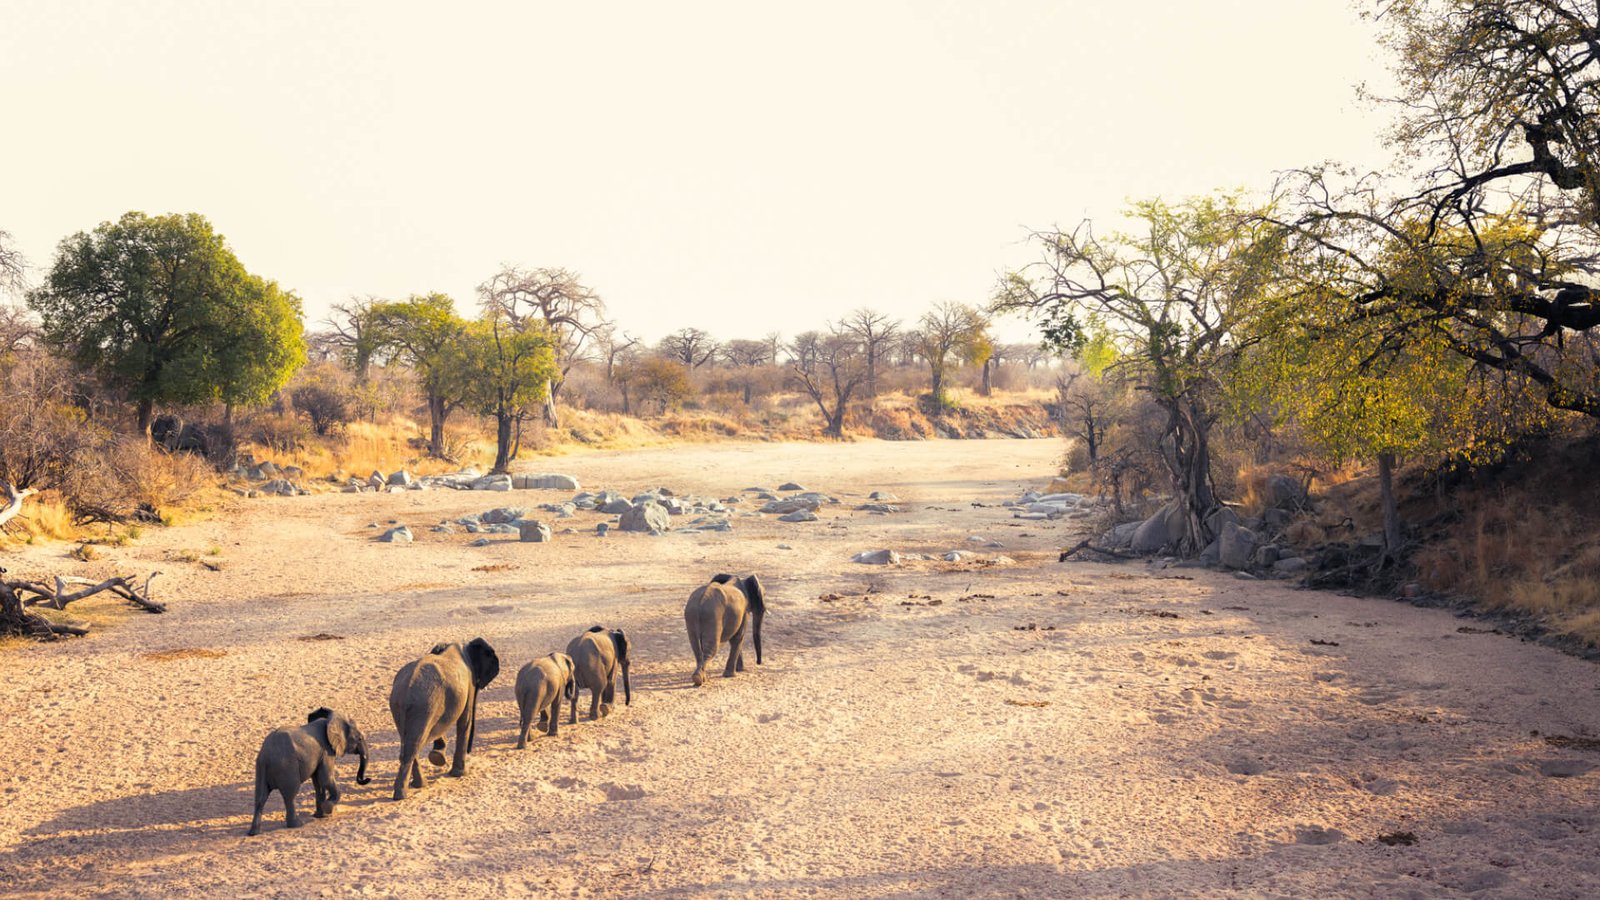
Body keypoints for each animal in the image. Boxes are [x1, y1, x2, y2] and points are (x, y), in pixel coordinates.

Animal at [247, 707, 370, 836]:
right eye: (359, 738)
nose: (367, 779)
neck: (330, 720)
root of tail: (266, 754)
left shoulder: (319, 755)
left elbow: (318, 783)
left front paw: (321, 816)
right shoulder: (326, 751)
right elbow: (326, 779)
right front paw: (327, 808)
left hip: (261, 767)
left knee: (260, 797)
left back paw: (253, 833)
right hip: (287, 767)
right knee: (289, 795)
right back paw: (296, 825)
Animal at [388, 637, 500, 801]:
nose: (470, 751)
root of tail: (406, 691)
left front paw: (437, 757)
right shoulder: (469, 684)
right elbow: (465, 721)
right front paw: (459, 774)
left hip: (403, 708)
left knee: (408, 741)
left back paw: (418, 785)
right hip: (424, 706)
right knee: (414, 744)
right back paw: (402, 795)